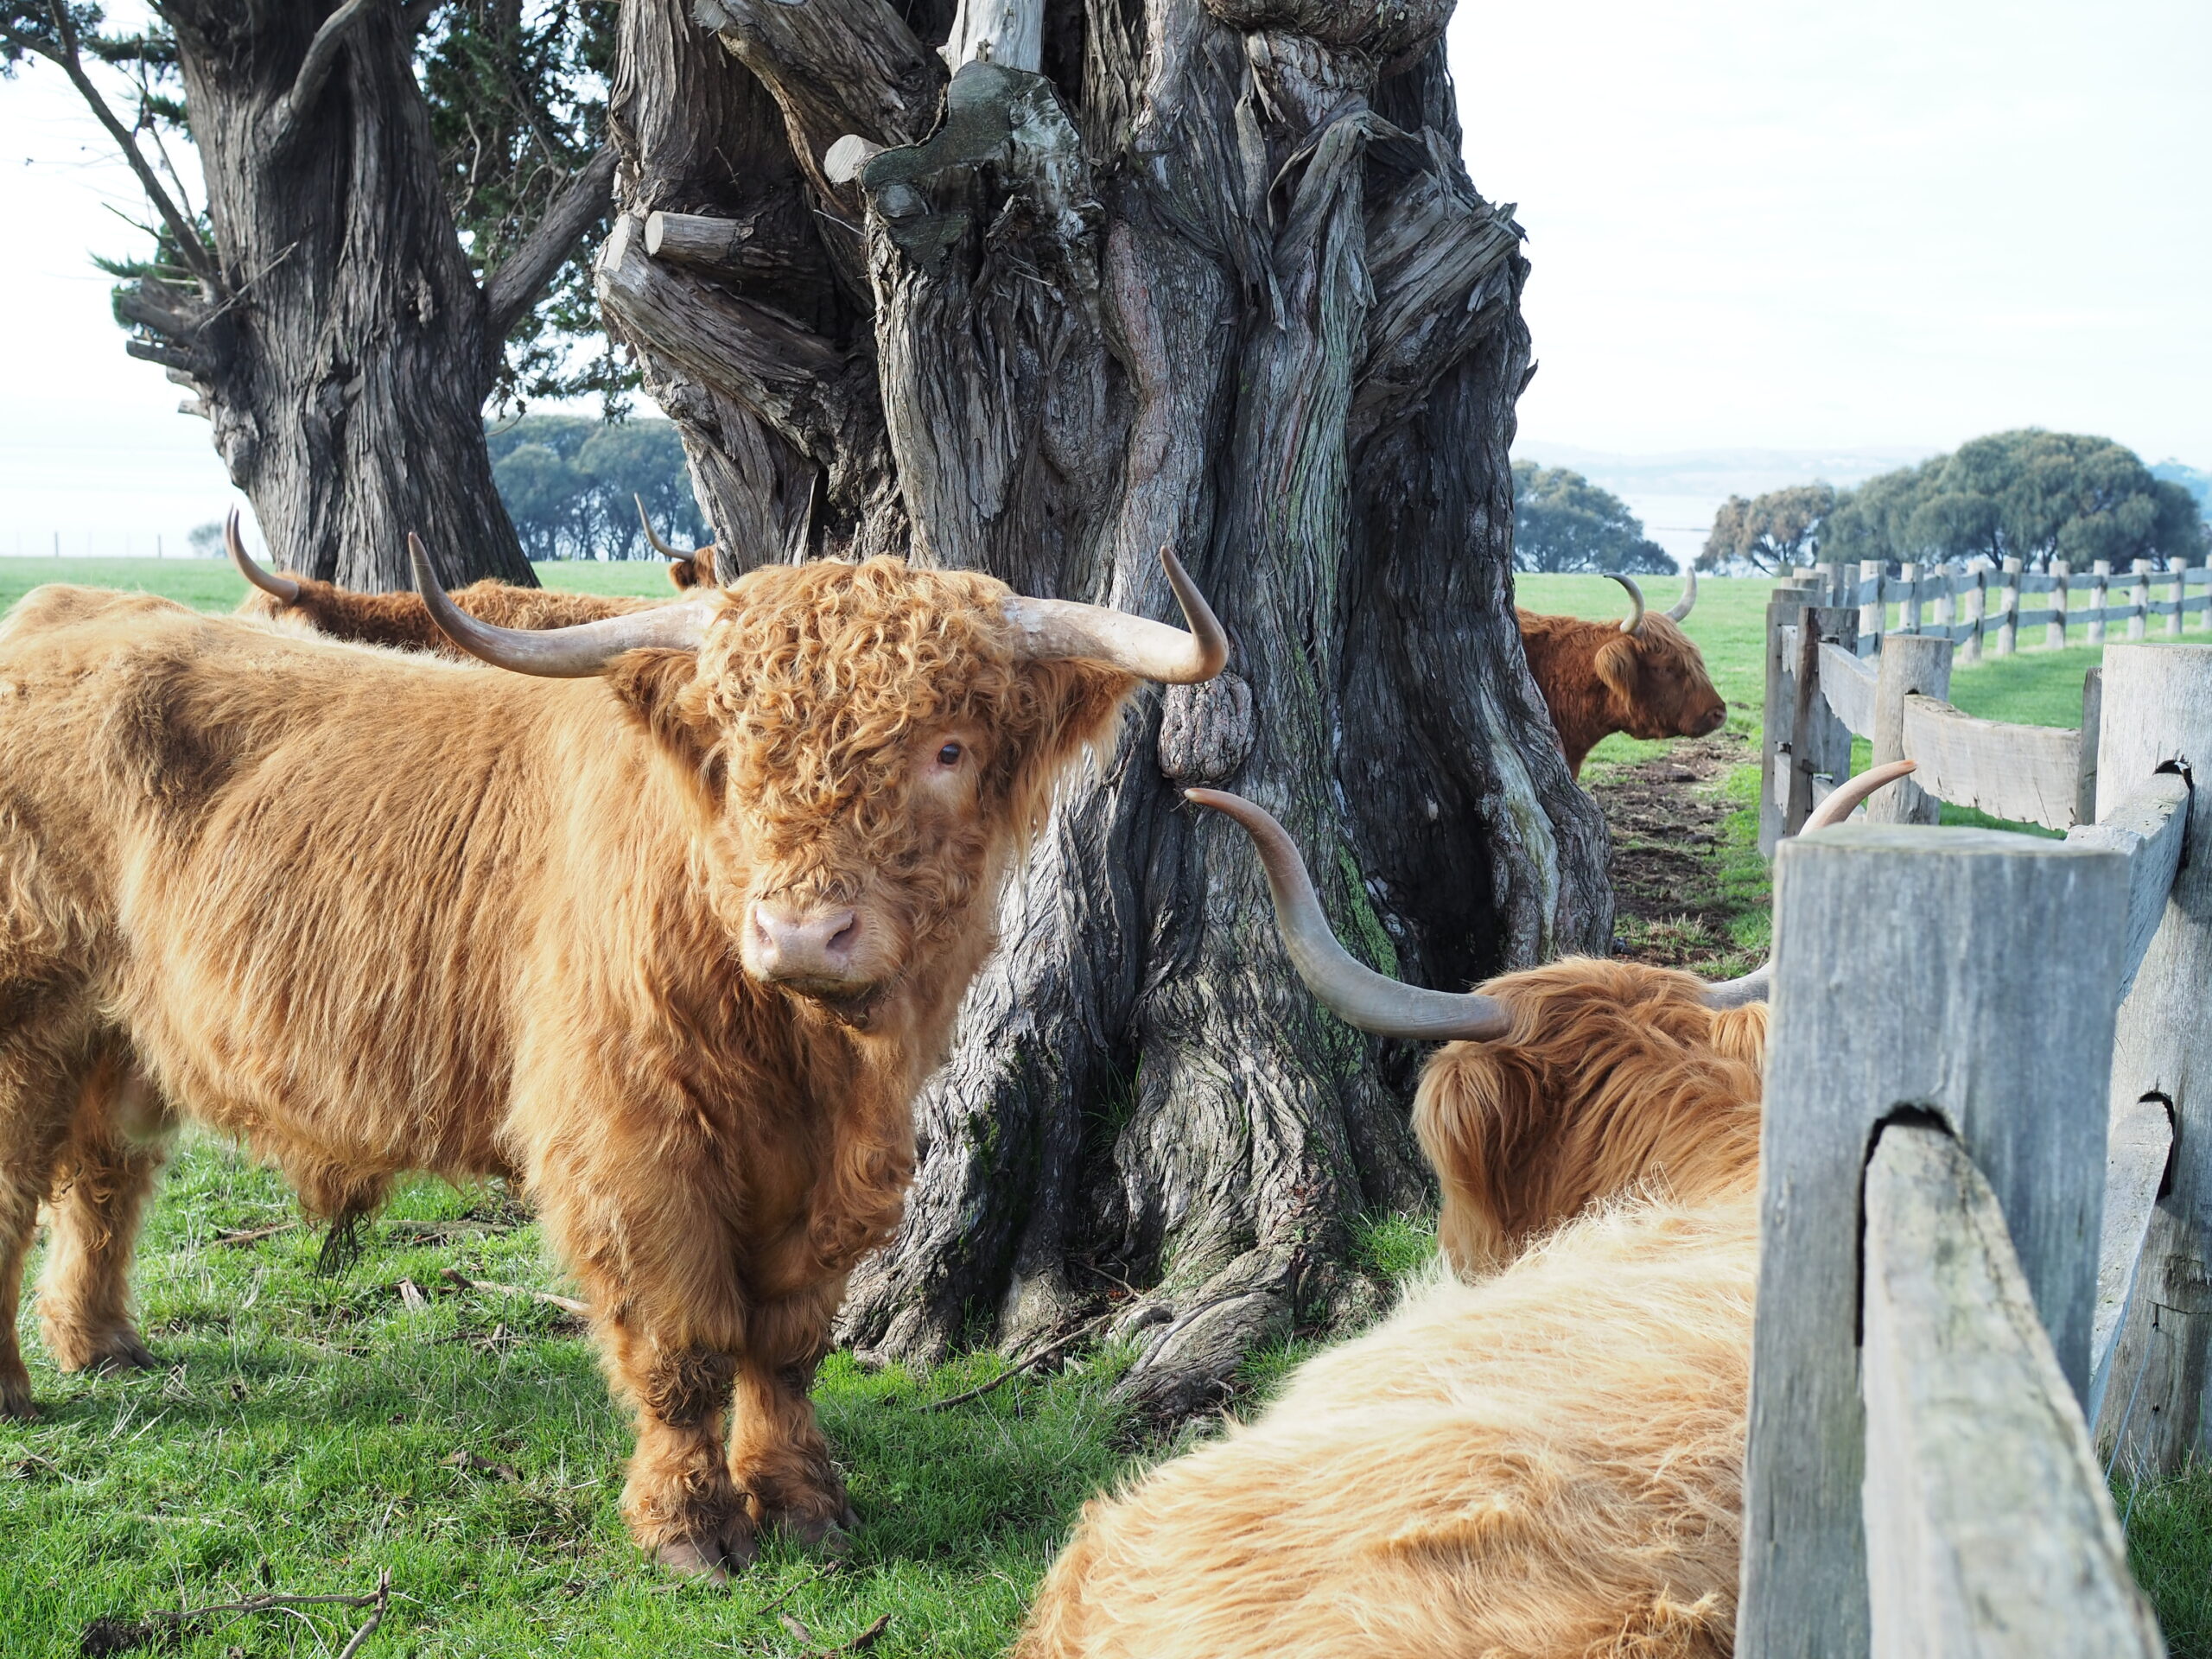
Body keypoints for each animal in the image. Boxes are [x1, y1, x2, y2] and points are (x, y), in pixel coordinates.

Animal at [0, 542, 1230, 1583]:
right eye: (734, 753)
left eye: (949, 749)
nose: (802, 935)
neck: (804, 1059)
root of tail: (63, 616)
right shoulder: (628, 1143)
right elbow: (685, 1344)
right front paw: (691, 1530)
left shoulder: (842, 1168)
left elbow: (788, 1342)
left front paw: (803, 1505)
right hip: (26, 1013)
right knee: (19, 1190)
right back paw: (21, 1389)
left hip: (116, 1032)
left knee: (102, 1177)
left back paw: (101, 1345)